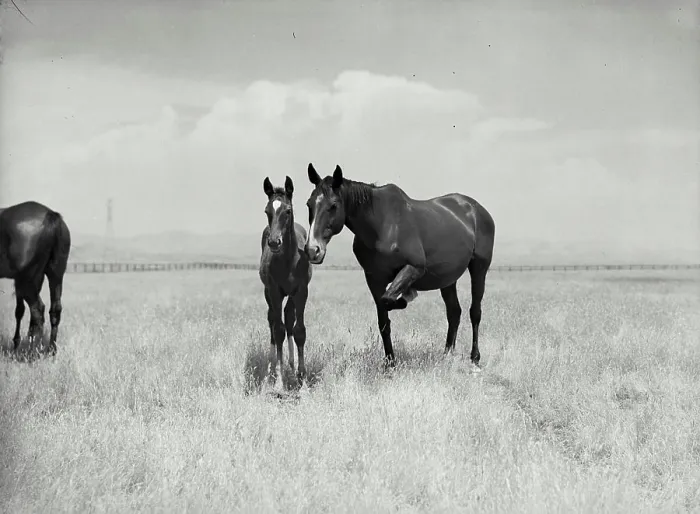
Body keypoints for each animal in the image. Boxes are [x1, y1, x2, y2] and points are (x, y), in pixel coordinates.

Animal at [0, 201, 72, 356]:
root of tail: (50, 215)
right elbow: (19, 310)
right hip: (55, 275)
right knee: (54, 310)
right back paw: (51, 350)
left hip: (28, 281)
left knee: (38, 310)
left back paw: (32, 353)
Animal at [259, 176, 313, 386]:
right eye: (267, 211)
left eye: (287, 211)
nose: (274, 242)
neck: (289, 260)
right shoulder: (274, 291)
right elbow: (279, 330)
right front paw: (279, 380)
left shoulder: (302, 291)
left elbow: (299, 330)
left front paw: (302, 377)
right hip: (269, 293)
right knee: (272, 320)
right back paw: (272, 366)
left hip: (291, 294)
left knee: (289, 316)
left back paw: (292, 363)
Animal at [304, 163, 495, 370]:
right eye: (309, 204)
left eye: (333, 206)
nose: (312, 250)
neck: (382, 225)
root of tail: (476, 209)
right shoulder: (374, 278)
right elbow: (383, 320)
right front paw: (390, 363)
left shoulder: (415, 268)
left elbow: (389, 299)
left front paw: (406, 296)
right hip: (447, 278)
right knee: (454, 312)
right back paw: (447, 355)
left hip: (479, 268)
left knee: (475, 312)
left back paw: (474, 358)